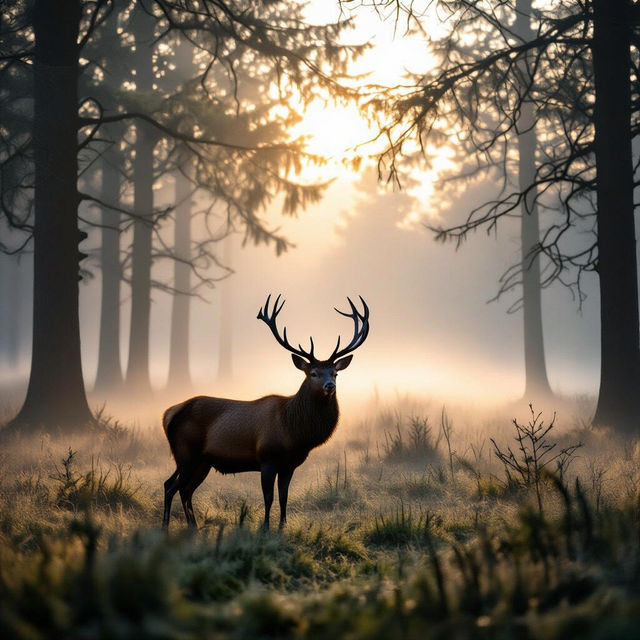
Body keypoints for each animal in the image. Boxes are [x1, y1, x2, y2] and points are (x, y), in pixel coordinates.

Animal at [161, 294, 370, 530]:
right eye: (313, 373)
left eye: (335, 373)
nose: (329, 386)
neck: (293, 432)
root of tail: (169, 413)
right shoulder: (267, 458)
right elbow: (268, 498)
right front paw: (265, 528)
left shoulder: (289, 464)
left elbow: (284, 497)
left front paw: (282, 527)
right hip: (186, 453)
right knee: (173, 487)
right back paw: (166, 526)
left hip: (200, 460)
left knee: (181, 488)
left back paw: (192, 527)